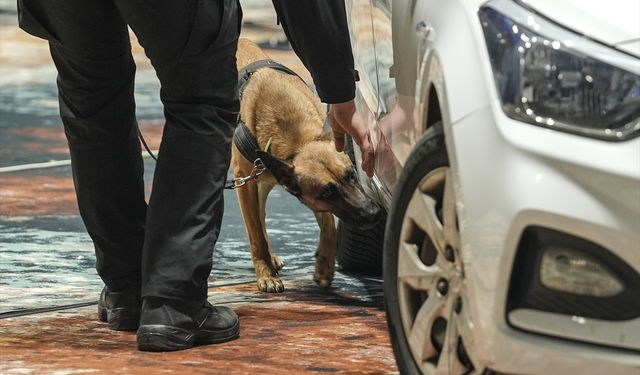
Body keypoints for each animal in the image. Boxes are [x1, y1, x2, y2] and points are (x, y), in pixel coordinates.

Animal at [232, 39, 382, 296]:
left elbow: (329, 224)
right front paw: (266, 274)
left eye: (352, 175)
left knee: (260, 215)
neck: (296, 141)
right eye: (327, 193)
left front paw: (325, 264)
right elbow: (255, 235)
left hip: (262, 180)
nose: (373, 214)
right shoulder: (244, 182)